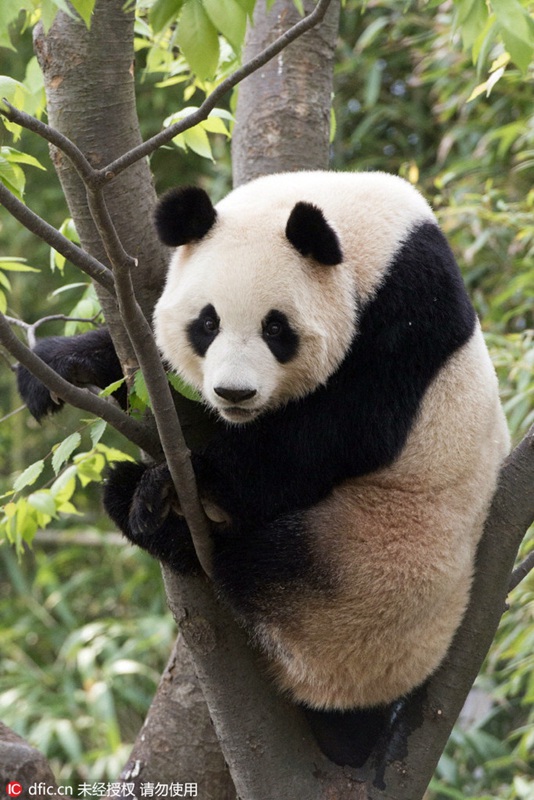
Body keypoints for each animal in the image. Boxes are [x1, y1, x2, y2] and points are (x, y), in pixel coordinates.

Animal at [18, 170, 510, 767]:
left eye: (277, 329)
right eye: (207, 323)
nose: (234, 394)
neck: (371, 236)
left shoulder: (408, 307)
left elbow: (340, 429)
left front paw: (193, 481)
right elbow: (147, 360)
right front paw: (58, 368)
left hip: (378, 567)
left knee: (258, 565)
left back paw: (170, 512)